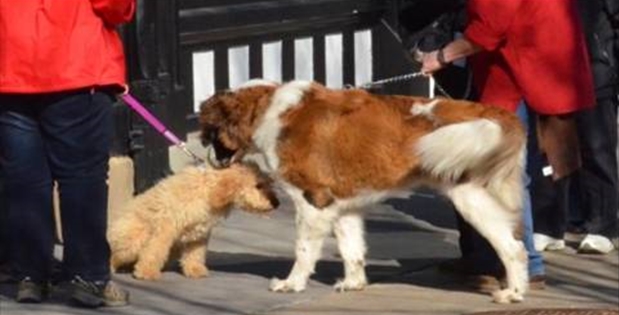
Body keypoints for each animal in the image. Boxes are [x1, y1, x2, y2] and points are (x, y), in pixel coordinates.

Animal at [199, 80, 528, 304]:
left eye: (210, 132)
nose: (208, 157)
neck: (267, 111)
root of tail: (491, 113)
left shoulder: (312, 201)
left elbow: (303, 250)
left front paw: (292, 284)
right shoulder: (343, 206)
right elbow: (352, 248)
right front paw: (353, 283)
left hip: (470, 198)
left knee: (512, 247)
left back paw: (512, 292)